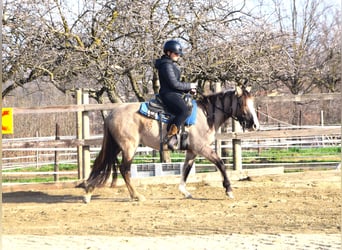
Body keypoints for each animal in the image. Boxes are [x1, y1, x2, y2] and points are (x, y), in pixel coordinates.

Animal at [82, 86, 260, 203]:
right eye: (243, 104)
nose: (255, 125)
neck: (206, 114)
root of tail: (112, 113)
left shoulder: (192, 151)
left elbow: (186, 169)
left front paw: (184, 191)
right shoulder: (202, 148)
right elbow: (221, 164)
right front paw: (229, 190)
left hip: (117, 146)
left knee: (101, 165)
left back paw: (89, 192)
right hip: (128, 147)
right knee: (124, 169)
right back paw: (136, 196)